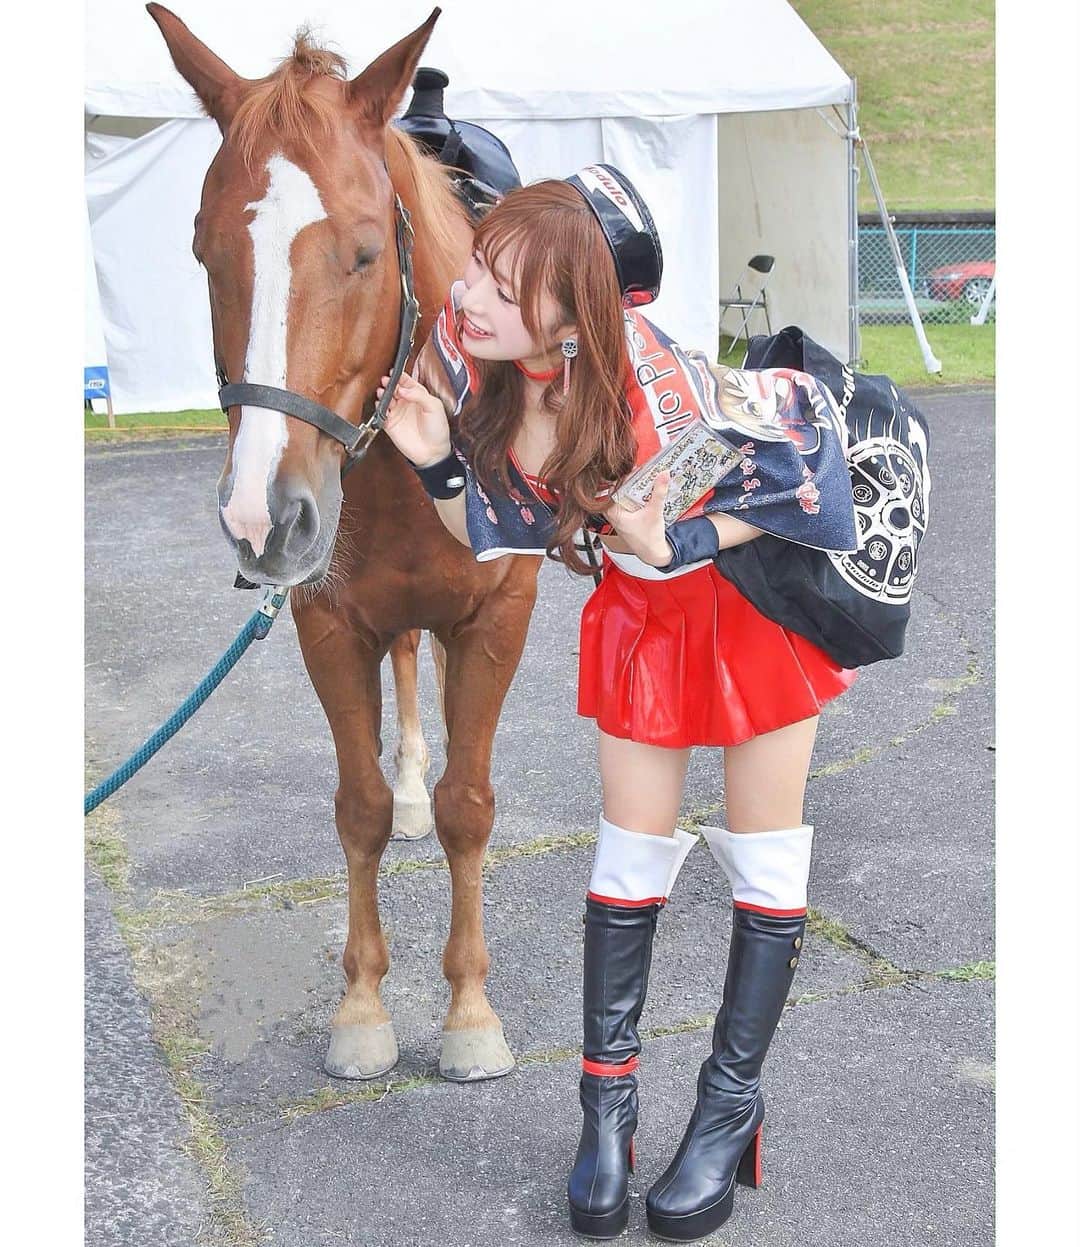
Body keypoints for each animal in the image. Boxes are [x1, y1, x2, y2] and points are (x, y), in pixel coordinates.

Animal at [147, 4, 542, 1083]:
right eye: (202, 251)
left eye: (365, 253)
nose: (262, 519)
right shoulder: (328, 623)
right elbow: (358, 806)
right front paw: (363, 1008)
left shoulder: (497, 619)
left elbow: (470, 805)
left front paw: (470, 1013)